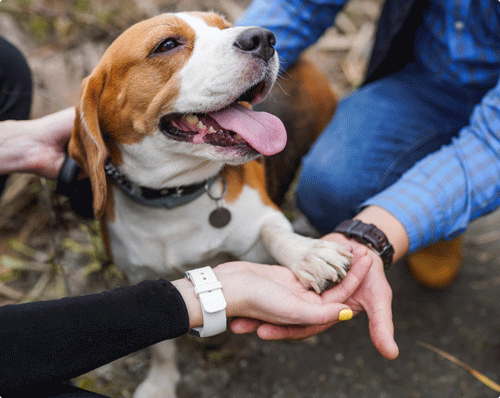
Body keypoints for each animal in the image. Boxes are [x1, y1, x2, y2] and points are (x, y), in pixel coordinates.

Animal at [69, 11, 352, 398]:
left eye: (224, 26)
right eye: (167, 45)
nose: (264, 38)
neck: (174, 199)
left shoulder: (256, 238)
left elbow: (273, 232)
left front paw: (308, 254)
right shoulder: (143, 278)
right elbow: (161, 346)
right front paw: (160, 383)